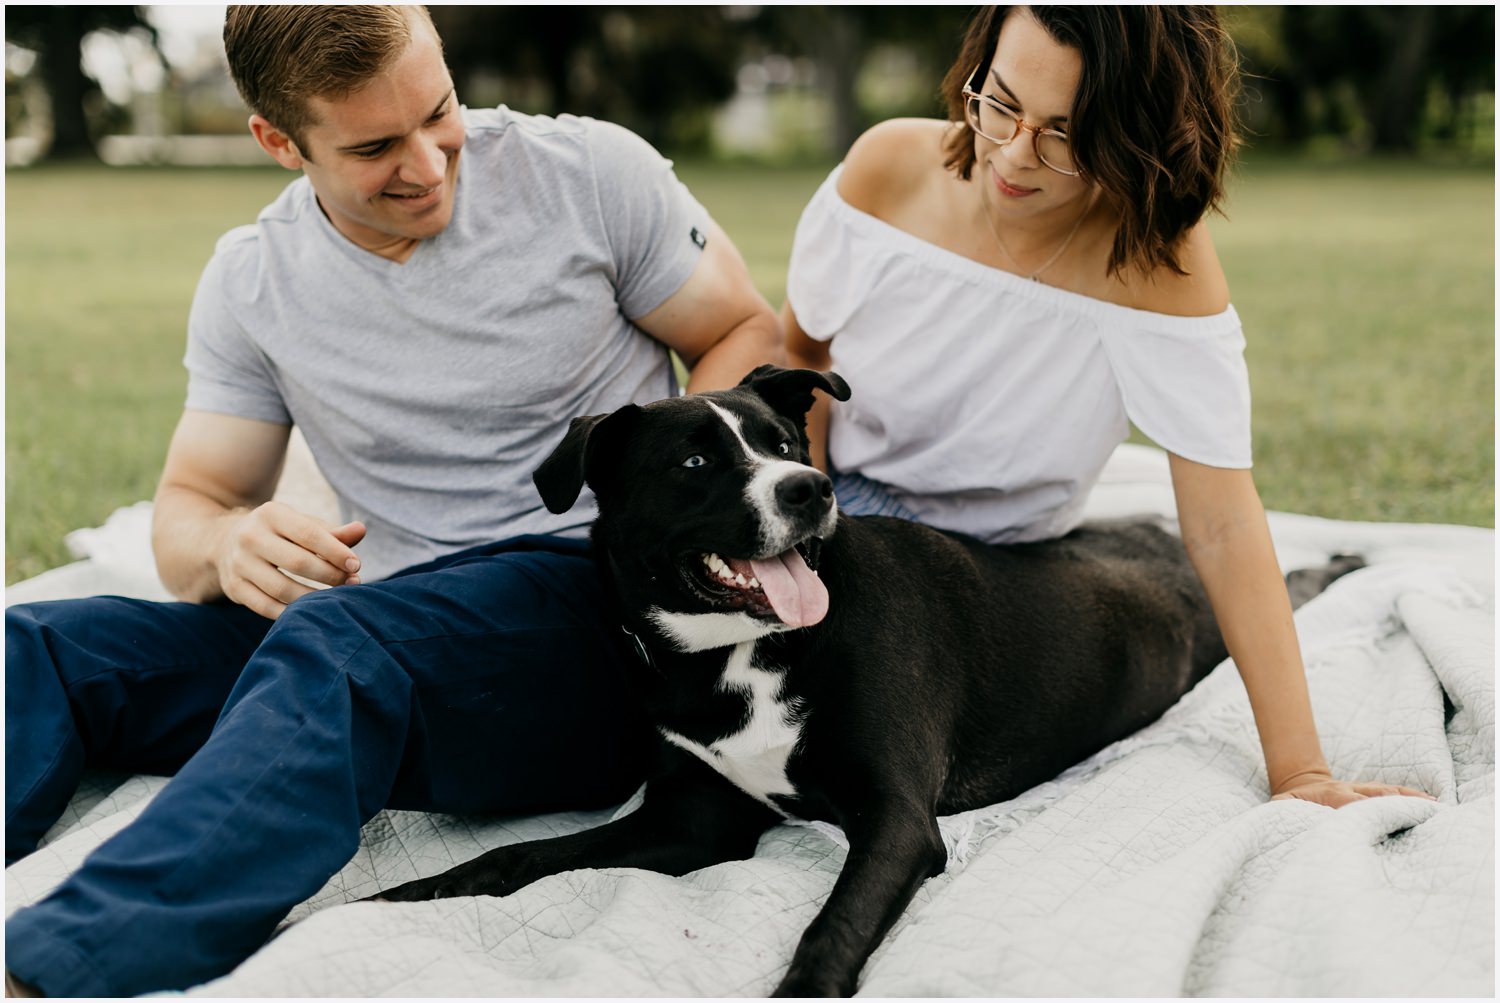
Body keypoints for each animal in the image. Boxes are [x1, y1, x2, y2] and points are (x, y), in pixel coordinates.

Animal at [381, 365, 1368, 995]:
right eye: (694, 462)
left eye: (786, 441)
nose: (809, 489)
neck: (745, 655)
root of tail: (1155, 532)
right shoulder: (691, 821)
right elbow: (522, 855)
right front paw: (396, 900)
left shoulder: (896, 820)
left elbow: (833, 928)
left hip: (1221, 620)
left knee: (1281, 592)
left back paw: (1343, 563)